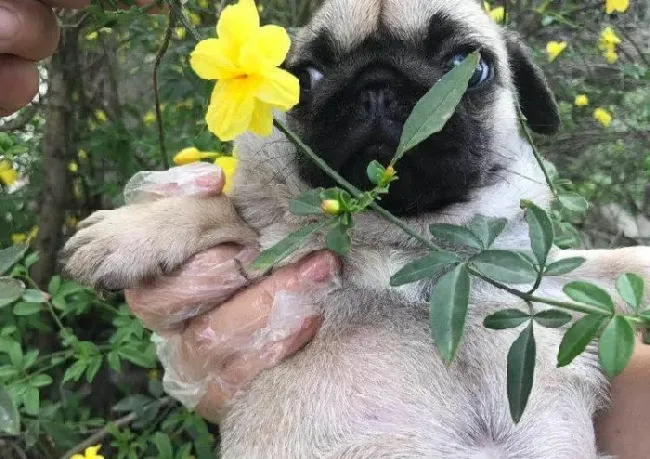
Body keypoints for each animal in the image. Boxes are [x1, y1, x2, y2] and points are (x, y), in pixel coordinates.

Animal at [62, 0, 648, 458]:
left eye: (468, 66)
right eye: (307, 77)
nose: (377, 85)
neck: (418, 244)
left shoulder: (554, 281)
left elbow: (614, 263)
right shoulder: (280, 244)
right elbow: (225, 211)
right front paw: (132, 229)